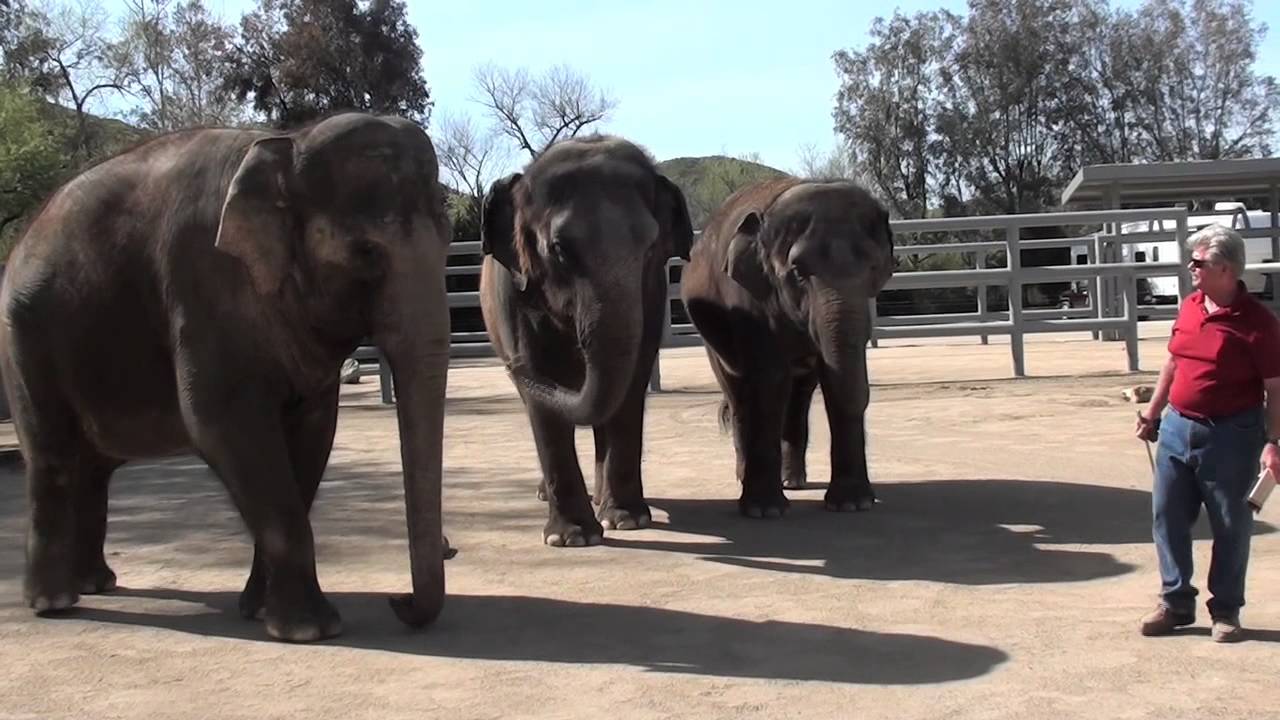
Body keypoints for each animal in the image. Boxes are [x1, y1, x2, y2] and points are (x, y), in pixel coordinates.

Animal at [0, 112, 452, 642]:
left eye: (449, 239)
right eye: (365, 252)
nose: (398, 600)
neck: (288, 143)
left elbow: (312, 432)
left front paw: (258, 611)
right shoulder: (203, 284)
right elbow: (221, 423)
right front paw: (310, 630)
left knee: (93, 466)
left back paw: (97, 584)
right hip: (25, 337)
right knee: (51, 456)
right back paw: (56, 603)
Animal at [478, 135, 693, 547]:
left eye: (650, 247)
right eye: (559, 249)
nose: (512, 365)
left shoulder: (650, 291)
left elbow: (632, 379)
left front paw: (627, 520)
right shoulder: (514, 293)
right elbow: (542, 397)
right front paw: (572, 538)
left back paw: (601, 501)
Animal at [679, 178, 895, 518]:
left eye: (875, 268)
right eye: (797, 273)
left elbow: (836, 381)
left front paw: (852, 504)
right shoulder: (749, 301)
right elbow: (770, 383)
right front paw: (764, 511)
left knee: (799, 396)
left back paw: (793, 482)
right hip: (710, 336)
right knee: (739, 393)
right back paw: (746, 476)